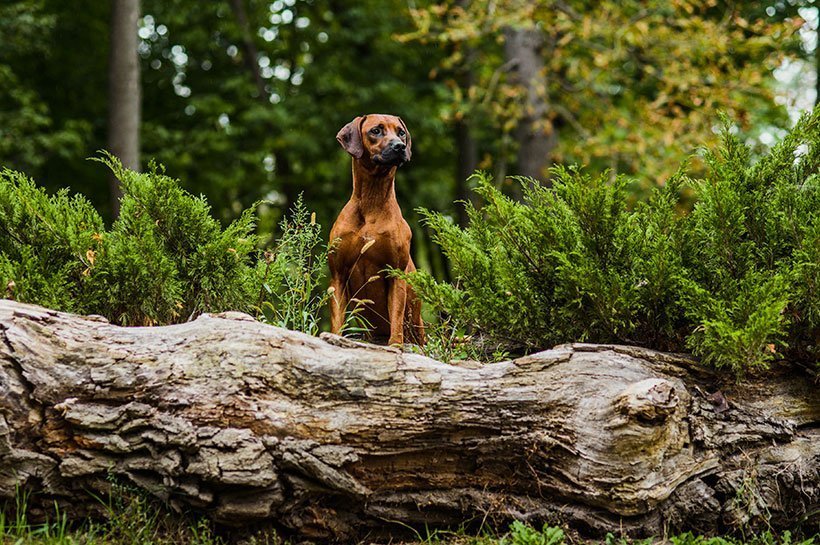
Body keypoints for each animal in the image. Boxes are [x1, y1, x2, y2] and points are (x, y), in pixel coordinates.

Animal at [328, 114, 426, 344]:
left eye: (401, 132)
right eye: (376, 131)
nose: (400, 146)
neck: (371, 201)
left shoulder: (396, 273)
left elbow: (396, 316)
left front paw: (395, 345)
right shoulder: (338, 275)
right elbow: (337, 320)